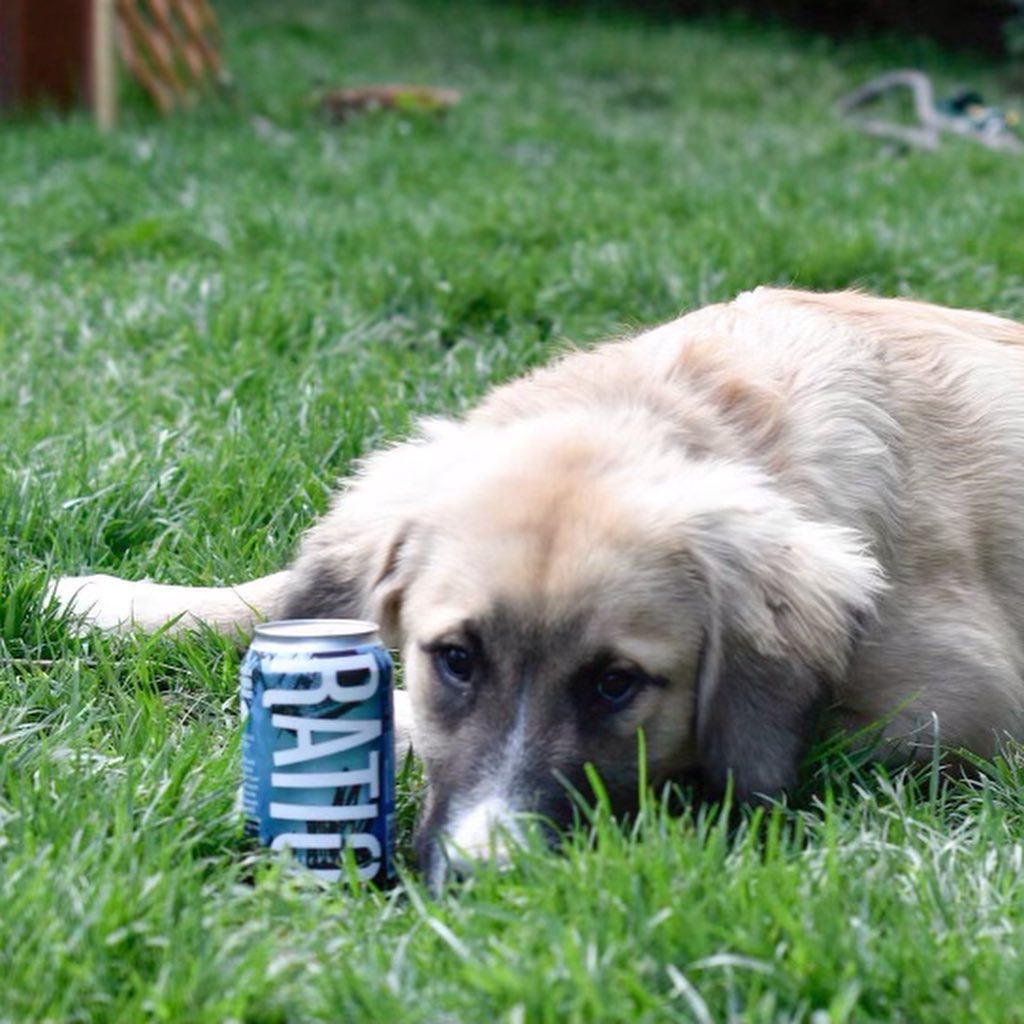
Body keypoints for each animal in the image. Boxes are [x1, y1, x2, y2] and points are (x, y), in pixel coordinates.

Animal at [49, 290, 1024, 888]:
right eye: (455, 658)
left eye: (616, 684)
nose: (489, 878)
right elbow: (278, 595)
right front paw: (110, 603)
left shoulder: (953, 709)